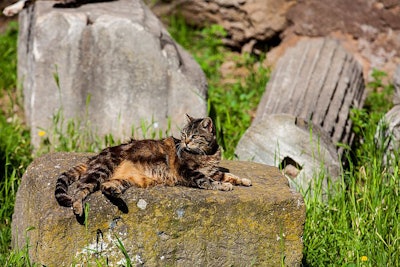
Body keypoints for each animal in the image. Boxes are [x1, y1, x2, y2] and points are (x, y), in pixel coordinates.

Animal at [54, 115, 252, 218]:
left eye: (194, 136)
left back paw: (117, 196)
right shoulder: (189, 172)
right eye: (183, 134)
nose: (186, 142)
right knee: (80, 189)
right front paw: (223, 186)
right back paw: (77, 207)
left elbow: (227, 174)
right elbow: (208, 181)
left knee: (105, 186)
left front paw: (243, 180)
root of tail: (95, 156)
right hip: (102, 169)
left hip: (125, 179)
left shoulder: (213, 170)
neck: (208, 154)